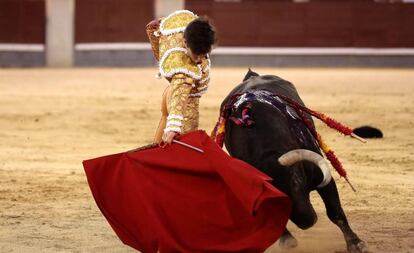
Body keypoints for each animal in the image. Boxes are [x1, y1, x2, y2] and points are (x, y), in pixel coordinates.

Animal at [220, 69, 368, 253]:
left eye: (296, 181)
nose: (307, 222)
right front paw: (287, 239)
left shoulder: (323, 177)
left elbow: (335, 212)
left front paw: (356, 243)